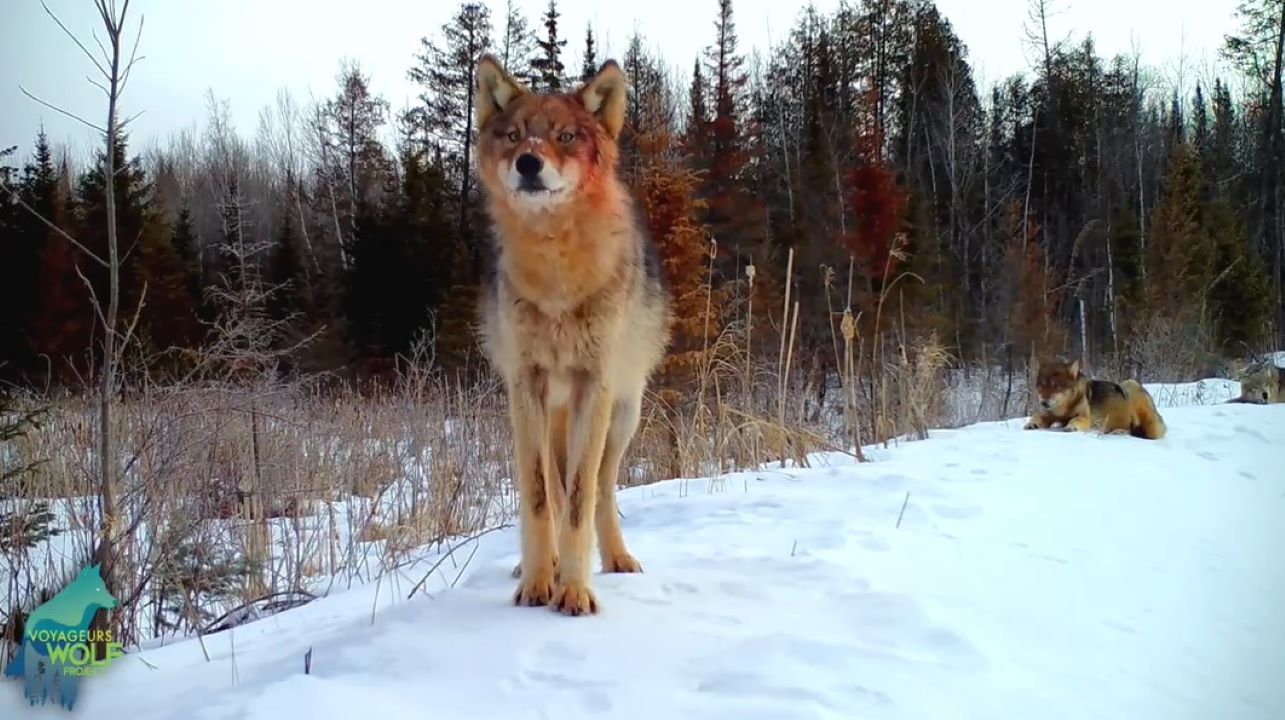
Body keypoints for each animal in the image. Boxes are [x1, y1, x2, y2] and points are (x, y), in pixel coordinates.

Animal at [472, 54, 672, 616]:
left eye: (564, 136)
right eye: (514, 135)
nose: (528, 163)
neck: (557, 275)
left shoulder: (592, 386)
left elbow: (582, 498)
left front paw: (575, 591)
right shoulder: (526, 386)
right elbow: (542, 497)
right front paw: (540, 581)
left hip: (622, 416)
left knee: (601, 489)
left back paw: (617, 559)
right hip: (547, 418)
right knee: (556, 490)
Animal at [1023, 358, 1167, 440]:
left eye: (1056, 387)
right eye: (1041, 386)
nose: (1043, 402)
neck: (1062, 410)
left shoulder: (1084, 417)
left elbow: (1075, 419)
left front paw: (1070, 427)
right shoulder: (1046, 414)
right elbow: (1037, 416)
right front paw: (1031, 423)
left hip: (1128, 385)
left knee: (1138, 429)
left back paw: (1117, 431)